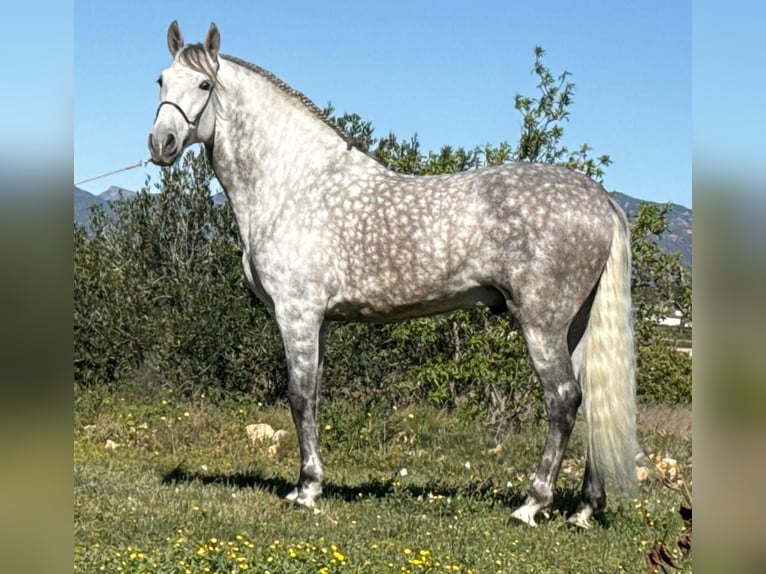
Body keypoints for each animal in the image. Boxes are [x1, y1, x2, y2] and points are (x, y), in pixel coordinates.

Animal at [148, 21, 639, 529]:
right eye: (161, 81)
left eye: (204, 85)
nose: (161, 144)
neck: (294, 185)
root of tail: (600, 198)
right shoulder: (321, 322)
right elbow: (314, 397)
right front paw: (313, 484)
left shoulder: (296, 315)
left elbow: (298, 398)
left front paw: (305, 490)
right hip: (575, 326)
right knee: (591, 404)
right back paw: (583, 508)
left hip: (541, 323)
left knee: (563, 400)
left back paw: (532, 504)